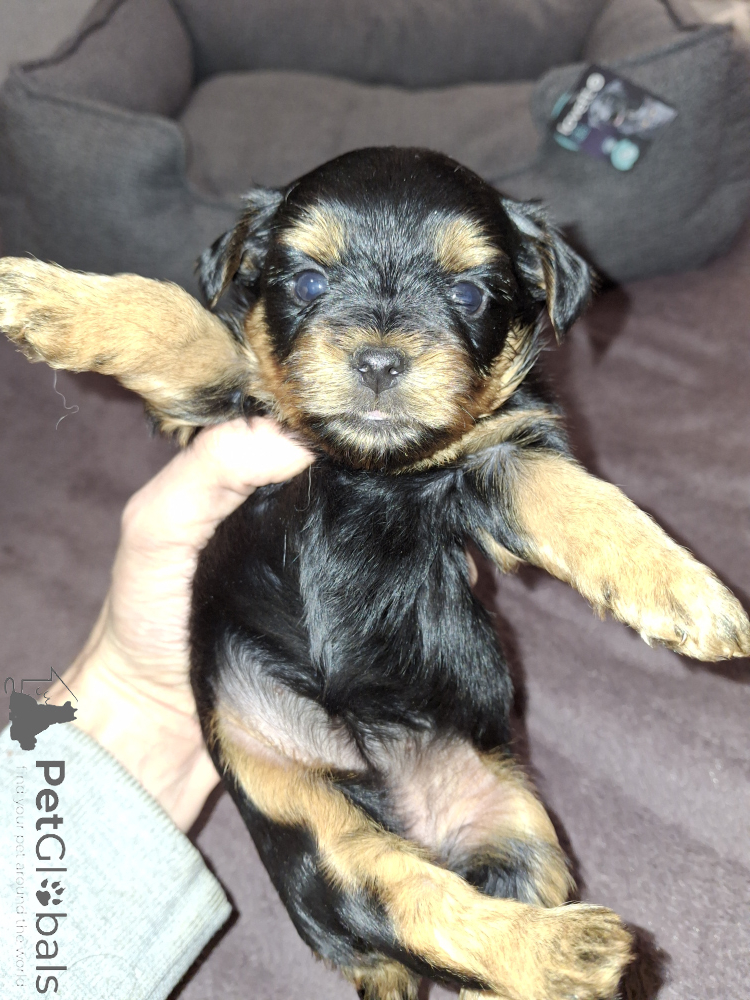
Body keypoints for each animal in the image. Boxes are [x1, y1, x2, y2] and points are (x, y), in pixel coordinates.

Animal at [2, 147, 749, 1000]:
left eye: (469, 293)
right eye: (307, 282)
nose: (381, 359)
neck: (371, 468)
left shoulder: (502, 453)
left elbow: (585, 501)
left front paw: (689, 592)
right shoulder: (225, 411)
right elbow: (184, 323)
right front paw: (40, 293)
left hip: (518, 831)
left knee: (450, 916)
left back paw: (576, 954)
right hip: (309, 822)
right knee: (408, 901)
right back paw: (579, 953)